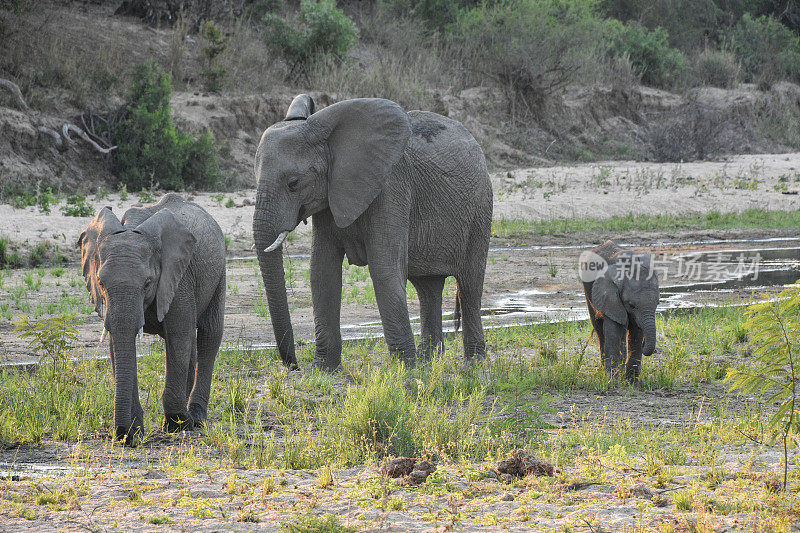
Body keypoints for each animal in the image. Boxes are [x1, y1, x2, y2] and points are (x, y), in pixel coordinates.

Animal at [78, 193, 225, 442]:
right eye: (100, 283)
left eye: (147, 283)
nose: (121, 435)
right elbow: (117, 343)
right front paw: (135, 432)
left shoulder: (179, 278)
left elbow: (178, 336)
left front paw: (177, 425)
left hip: (219, 270)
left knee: (209, 334)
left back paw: (195, 418)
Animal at [255, 94, 494, 370]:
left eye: (293, 184)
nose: (293, 365)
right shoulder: (329, 197)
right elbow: (322, 271)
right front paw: (323, 370)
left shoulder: (391, 187)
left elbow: (383, 268)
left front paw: (405, 370)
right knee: (428, 288)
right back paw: (428, 363)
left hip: (481, 208)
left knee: (469, 285)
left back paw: (474, 363)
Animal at [580, 240, 660, 382]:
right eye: (632, 305)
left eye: (658, 303)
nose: (646, 345)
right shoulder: (610, 296)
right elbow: (613, 332)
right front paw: (612, 382)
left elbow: (636, 334)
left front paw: (632, 383)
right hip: (587, 291)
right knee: (599, 328)